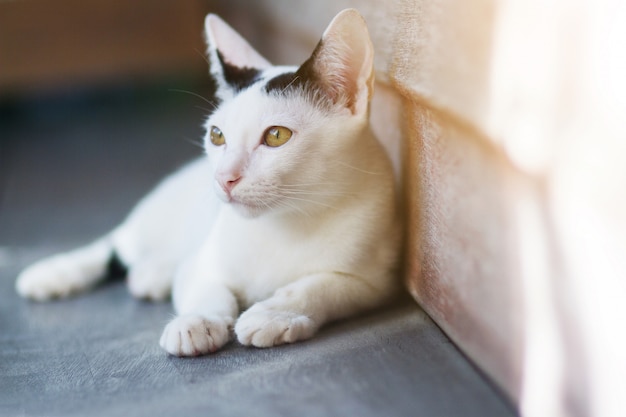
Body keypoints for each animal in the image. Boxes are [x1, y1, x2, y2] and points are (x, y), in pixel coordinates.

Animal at [14, 8, 400, 356]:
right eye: (217, 135)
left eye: (276, 136)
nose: (224, 177)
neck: (287, 222)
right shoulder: (202, 263)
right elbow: (207, 286)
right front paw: (196, 322)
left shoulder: (373, 282)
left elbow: (320, 285)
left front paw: (275, 313)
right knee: (115, 243)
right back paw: (55, 273)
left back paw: (153, 273)